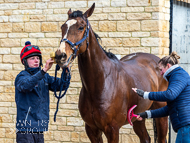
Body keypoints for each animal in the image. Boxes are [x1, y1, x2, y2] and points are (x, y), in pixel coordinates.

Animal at [53, 3, 168, 143]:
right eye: (63, 27)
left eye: (81, 27)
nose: (60, 56)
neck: (101, 83)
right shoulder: (91, 129)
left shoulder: (112, 129)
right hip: (137, 117)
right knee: (145, 138)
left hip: (161, 114)